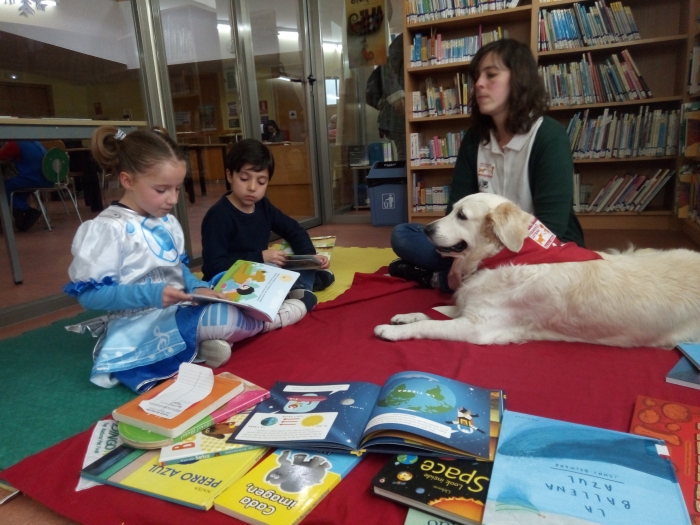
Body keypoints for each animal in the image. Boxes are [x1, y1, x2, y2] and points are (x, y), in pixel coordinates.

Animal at [374, 192, 700, 348]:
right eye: (451, 210)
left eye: (462, 216)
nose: (426, 229)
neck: (503, 256)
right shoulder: (471, 308)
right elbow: (432, 312)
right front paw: (405, 316)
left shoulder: (478, 327)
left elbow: (431, 324)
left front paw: (393, 330)